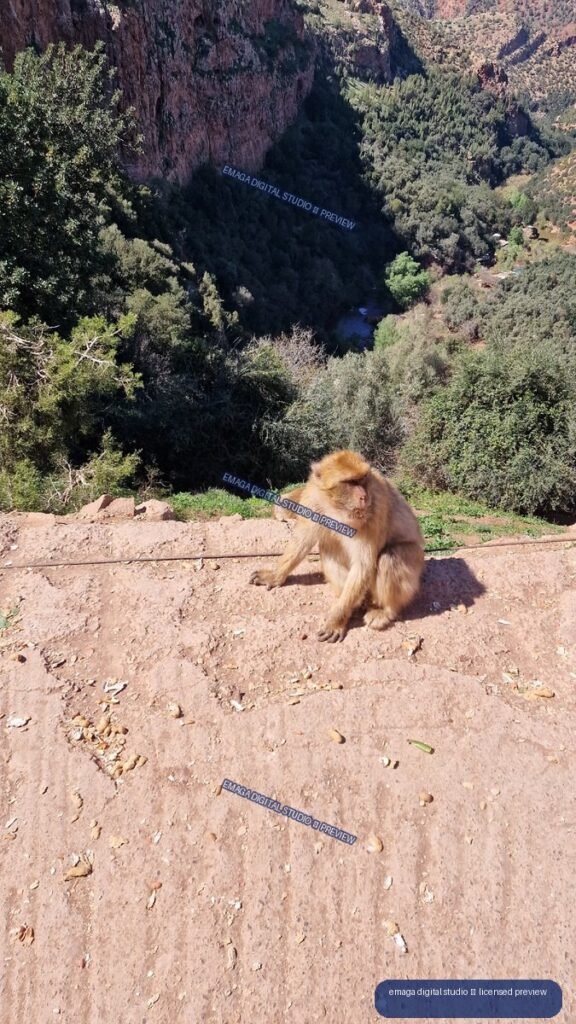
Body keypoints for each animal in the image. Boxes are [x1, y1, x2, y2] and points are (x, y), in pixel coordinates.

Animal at [250, 450, 424, 642]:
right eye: (350, 482)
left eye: (362, 479)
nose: (364, 496)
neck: (338, 509)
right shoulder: (313, 497)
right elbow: (302, 541)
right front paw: (274, 576)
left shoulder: (376, 506)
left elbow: (364, 565)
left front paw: (336, 621)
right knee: (328, 546)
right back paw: (354, 604)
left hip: (415, 563)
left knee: (391, 556)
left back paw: (385, 610)